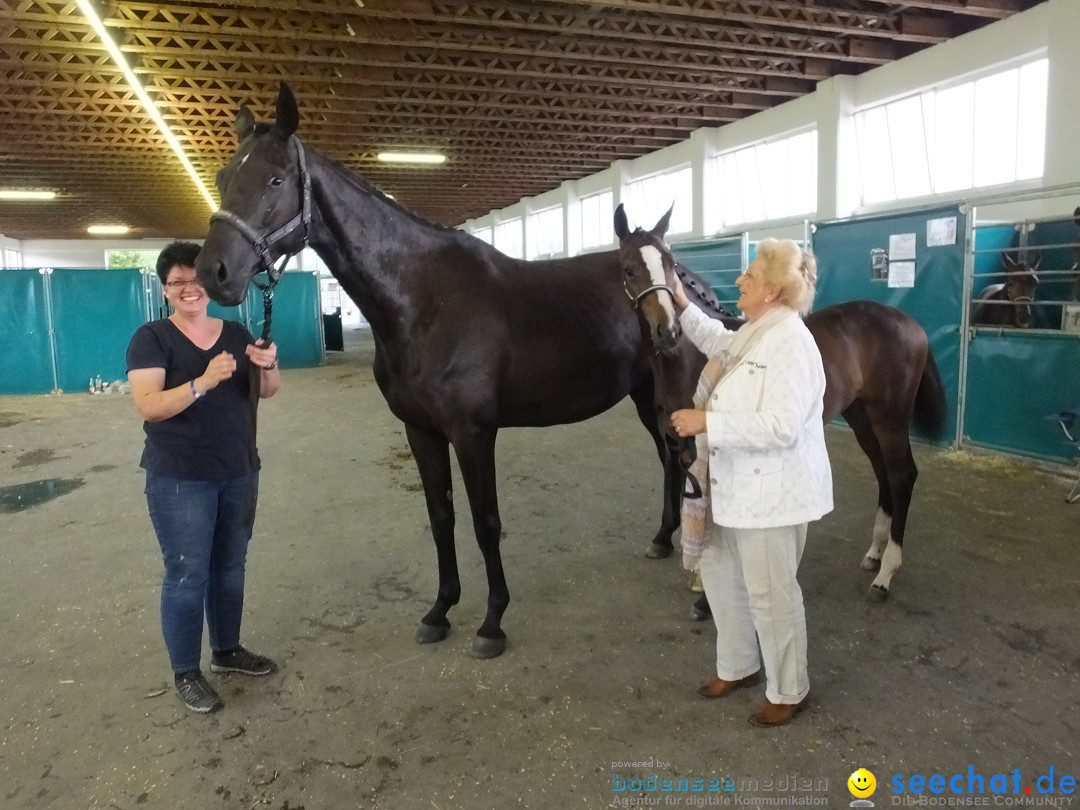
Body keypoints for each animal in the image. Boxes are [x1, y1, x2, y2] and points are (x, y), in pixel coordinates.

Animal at [194, 82, 686, 660]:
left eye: (274, 179)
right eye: (223, 178)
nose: (212, 273)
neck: (423, 301)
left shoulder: (472, 433)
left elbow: (485, 522)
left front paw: (492, 622)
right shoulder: (421, 430)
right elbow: (441, 517)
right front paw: (440, 610)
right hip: (644, 395)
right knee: (669, 459)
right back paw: (663, 538)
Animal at [613, 206, 950, 604]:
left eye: (671, 263)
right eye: (628, 268)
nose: (669, 332)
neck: (687, 359)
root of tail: (911, 324)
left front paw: (705, 598)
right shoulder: (678, 441)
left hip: (890, 418)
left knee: (901, 475)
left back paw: (885, 575)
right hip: (862, 418)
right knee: (883, 472)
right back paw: (874, 554)